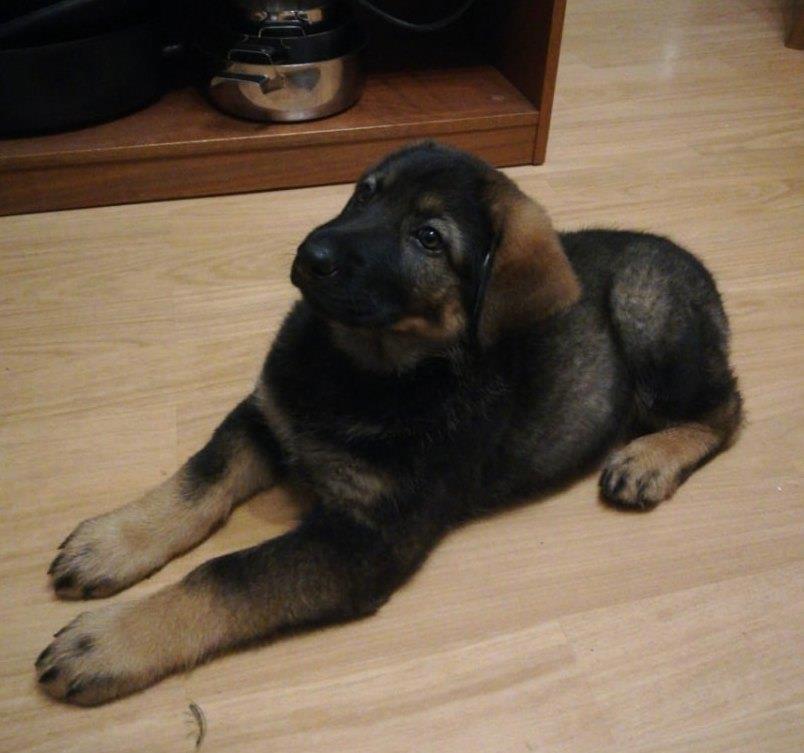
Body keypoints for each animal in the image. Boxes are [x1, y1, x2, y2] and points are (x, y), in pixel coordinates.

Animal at [36, 142, 742, 705]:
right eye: (364, 193)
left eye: (429, 237)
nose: (310, 254)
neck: (363, 370)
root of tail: (700, 270)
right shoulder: (268, 413)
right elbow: (198, 480)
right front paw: (114, 541)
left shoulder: (364, 541)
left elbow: (229, 575)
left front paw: (111, 642)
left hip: (645, 306)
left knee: (726, 408)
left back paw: (649, 459)